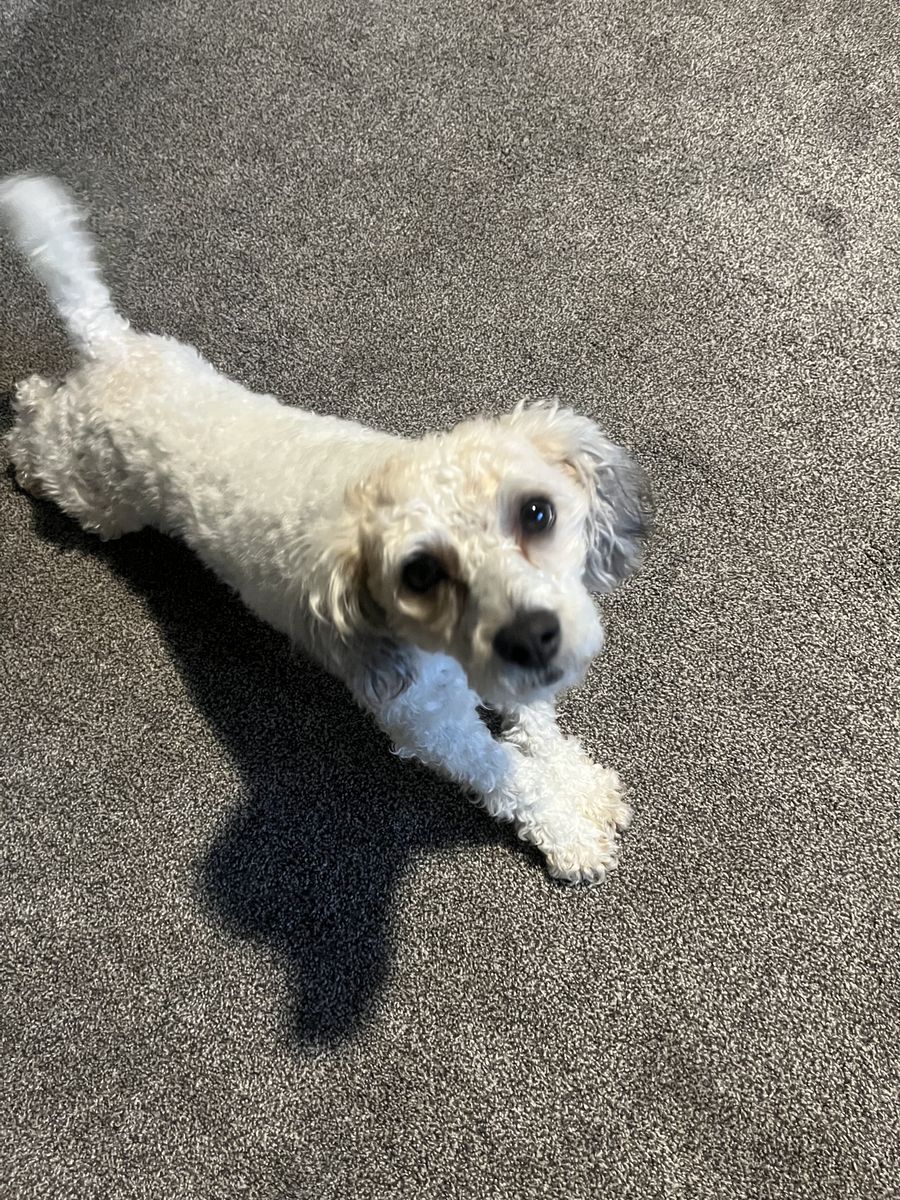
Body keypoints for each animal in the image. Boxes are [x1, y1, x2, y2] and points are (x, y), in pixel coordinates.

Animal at [1, 174, 651, 885]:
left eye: (537, 513)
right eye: (420, 573)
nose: (531, 638)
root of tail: (111, 348)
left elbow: (538, 725)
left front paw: (580, 786)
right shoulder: (429, 724)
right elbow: (507, 774)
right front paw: (565, 828)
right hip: (95, 497)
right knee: (35, 421)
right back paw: (22, 431)